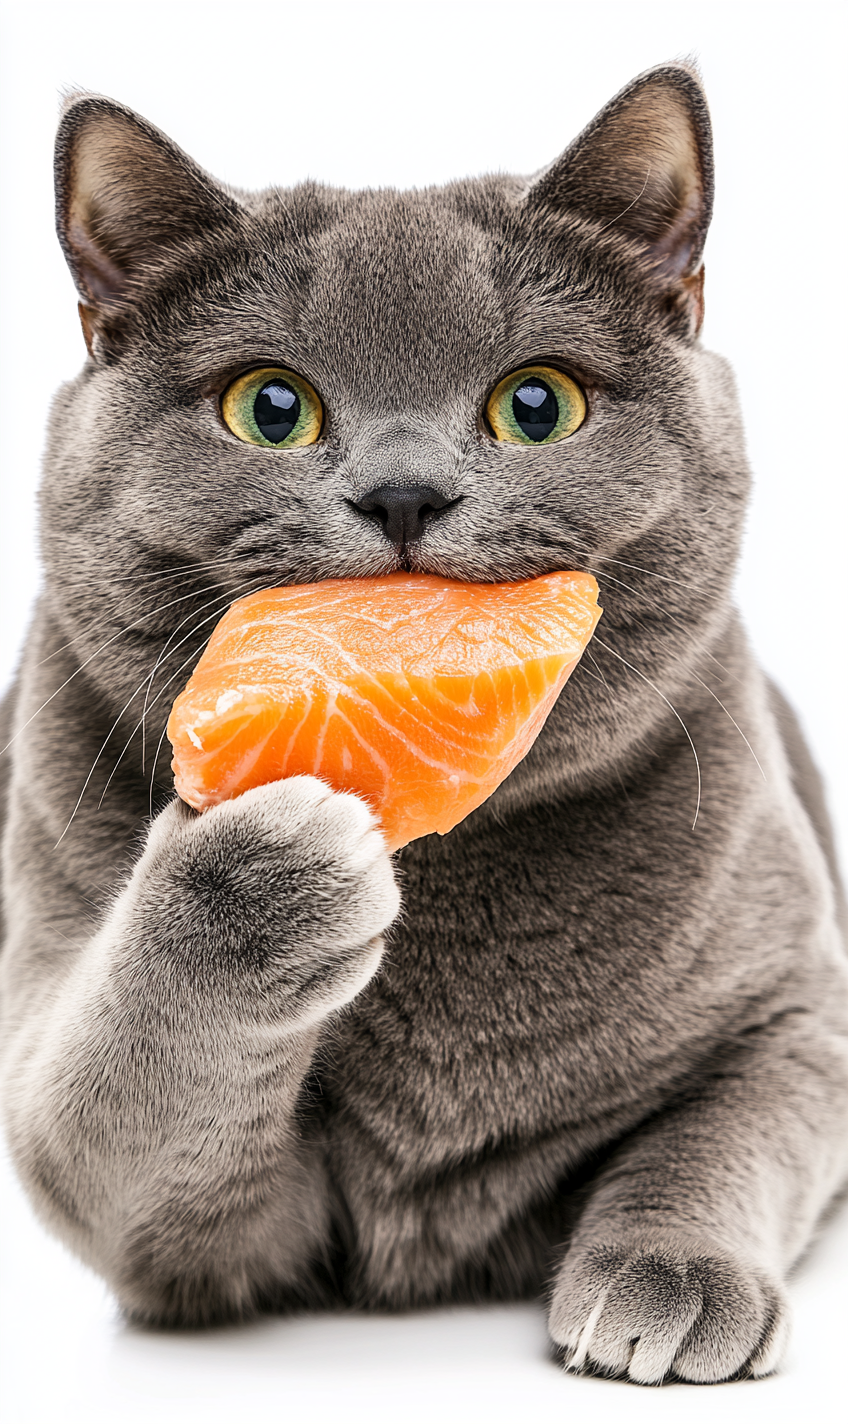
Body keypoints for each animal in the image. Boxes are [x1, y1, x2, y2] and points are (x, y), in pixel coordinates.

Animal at [1, 64, 848, 1378]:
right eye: (272, 407)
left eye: (535, 405)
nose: (403, 493)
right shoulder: (179, 1220)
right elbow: (115, 1088)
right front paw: (265, 866)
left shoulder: (797, 1009)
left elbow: (717, 1133)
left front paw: (671, 1275)